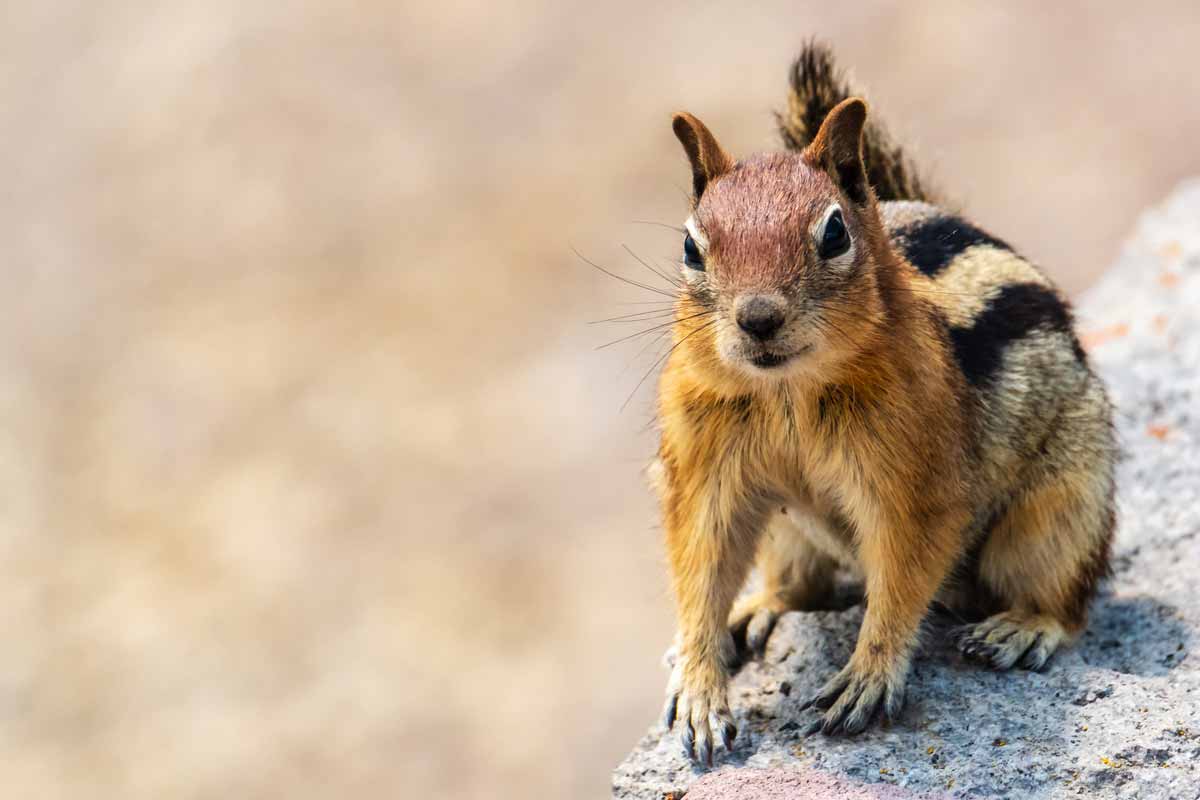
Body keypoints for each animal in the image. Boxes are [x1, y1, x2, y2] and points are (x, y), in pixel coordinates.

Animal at [657, 42, 1113, 762]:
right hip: (788, 531)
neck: (787, 392)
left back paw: (1021, 627)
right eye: (689, 247)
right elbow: (701, 567)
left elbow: (901, 578)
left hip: (1059, 511)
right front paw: (701, 687)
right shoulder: (705, 472)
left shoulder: (916, 484)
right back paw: (758, 608)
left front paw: (867, 676)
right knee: (801, 586)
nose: (758, 318)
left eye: (834, 234)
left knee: (1068, 600)